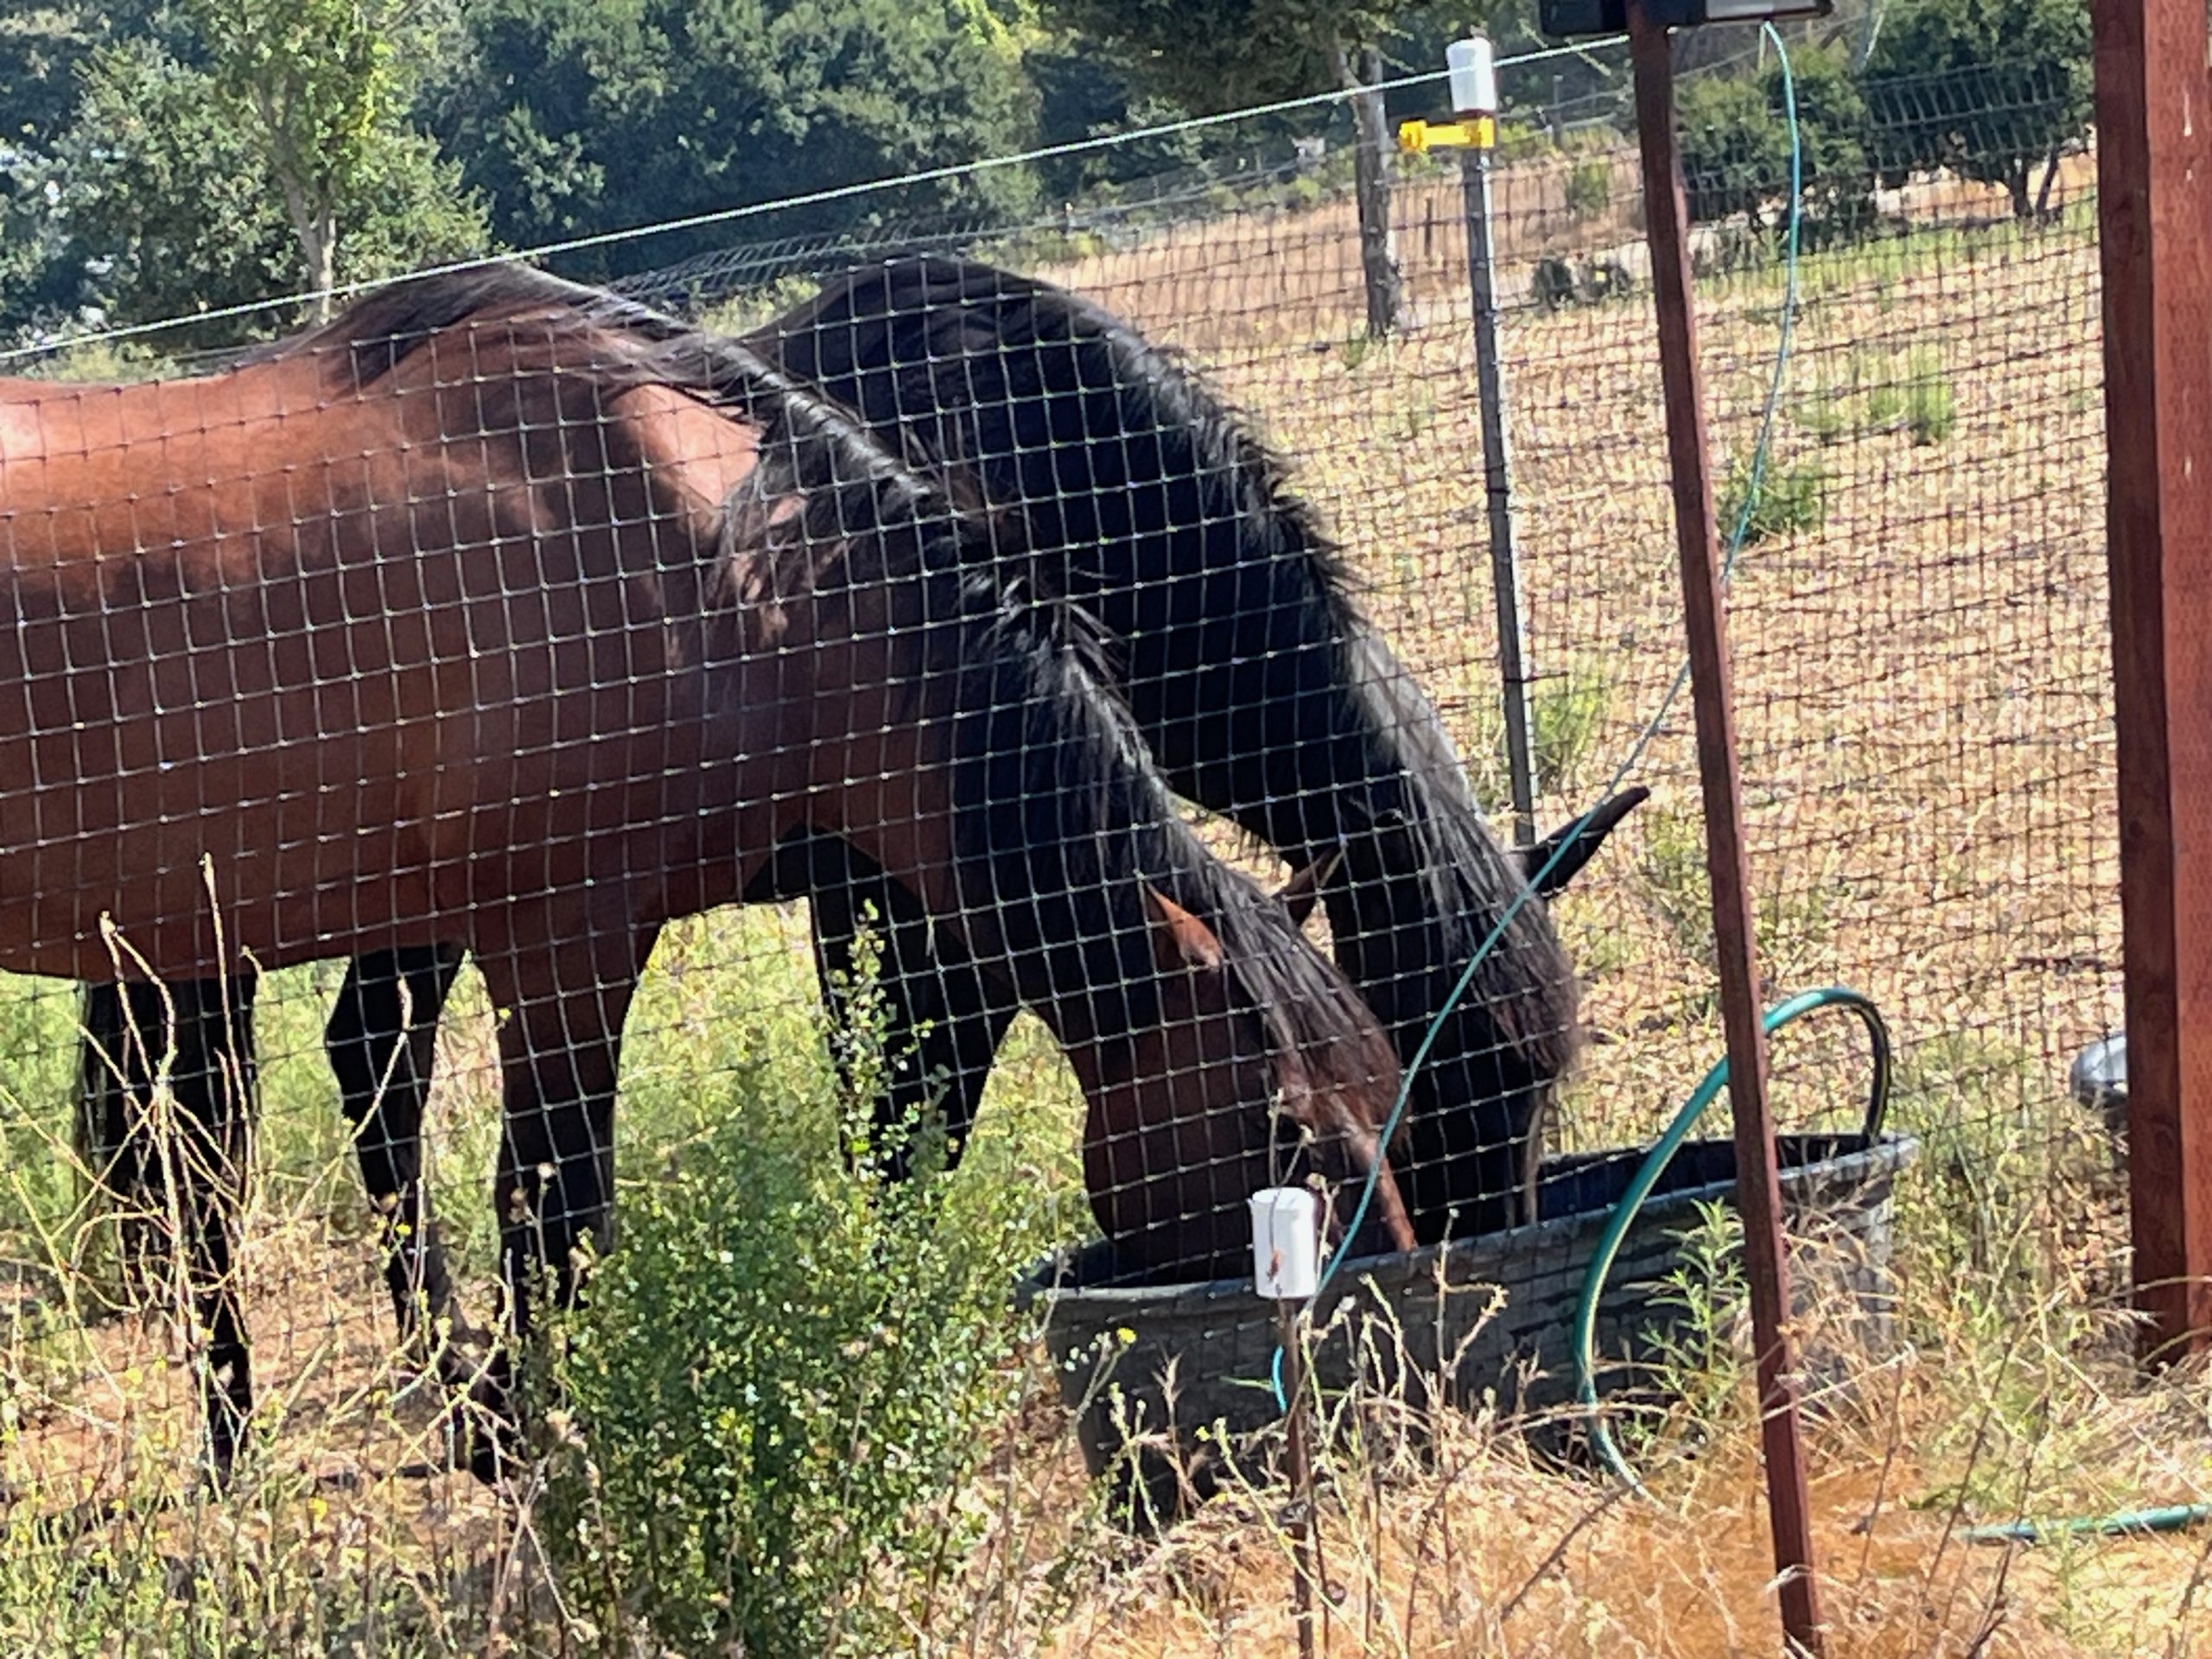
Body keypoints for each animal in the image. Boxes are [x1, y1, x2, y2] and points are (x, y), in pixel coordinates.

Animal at [77, 252, 1646, 1428]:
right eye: (1470, 1069)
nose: (1479, 1265)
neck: (1060, 475)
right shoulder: (914, 899)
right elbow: (902, 1118)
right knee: (294, 1094)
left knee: (313, 1081)